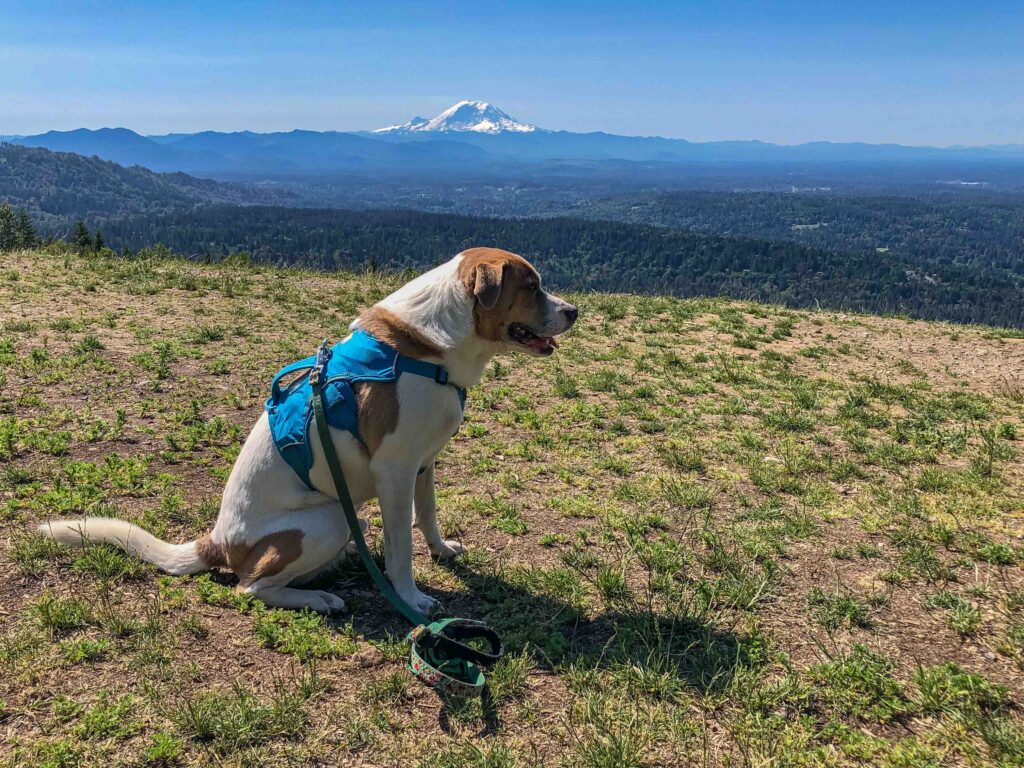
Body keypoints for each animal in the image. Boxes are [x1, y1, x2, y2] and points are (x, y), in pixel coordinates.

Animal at [37, 249, 577, 618]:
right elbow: (401, 550)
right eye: (532, 286)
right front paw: (412, 598)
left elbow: (427, 516)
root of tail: (217, 541)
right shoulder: (395, 472)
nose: (574, 311)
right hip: (328, 519)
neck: (433, 350)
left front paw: (443, 552)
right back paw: (318, 596)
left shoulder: (424, 462)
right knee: (251, 586)